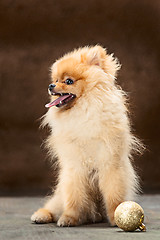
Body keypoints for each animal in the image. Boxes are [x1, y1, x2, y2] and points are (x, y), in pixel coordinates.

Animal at [30, 45, 142, 227]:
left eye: (68, 81)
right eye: (56, 79)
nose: (51, 85)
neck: (83, 111)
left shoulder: (110, 163)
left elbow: (114, 194)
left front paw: (116, 215)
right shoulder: (75, 168)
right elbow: (73, 198)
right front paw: (69, 218)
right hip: (60, 195)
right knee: (53, 206)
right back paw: (41, 215)